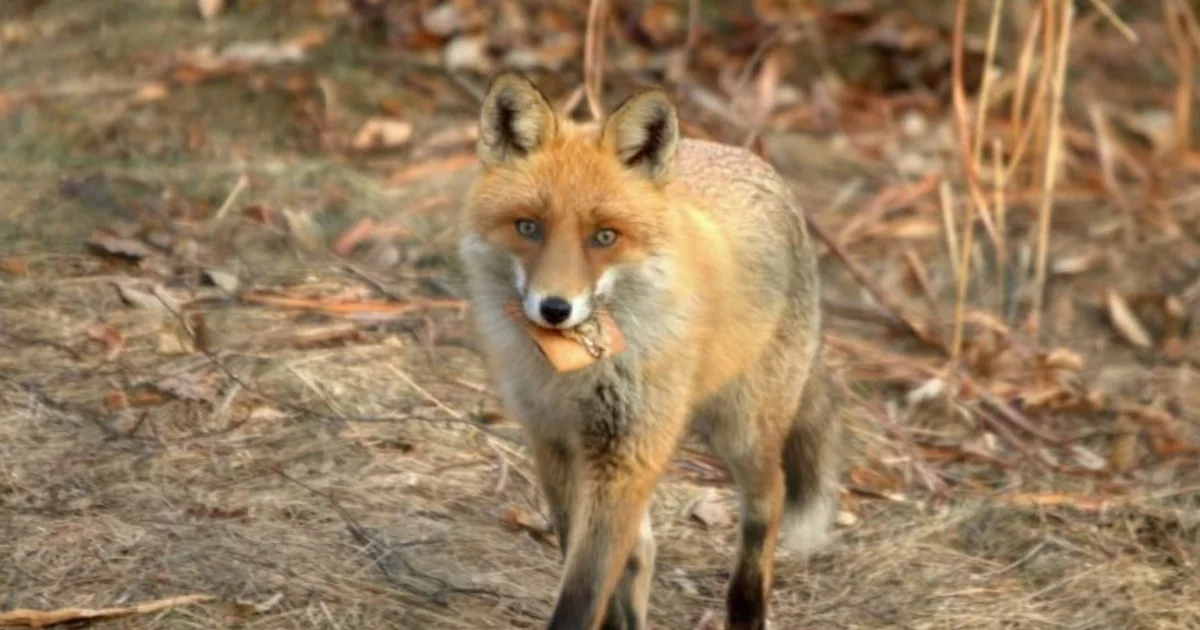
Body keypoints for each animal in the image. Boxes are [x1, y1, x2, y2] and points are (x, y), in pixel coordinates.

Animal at [453, 73, 840, 628]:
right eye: (529, 227)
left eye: (604, 236)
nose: (554, 309)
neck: (575, 373)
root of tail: (753, 160)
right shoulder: (554, 443)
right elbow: (592, 562)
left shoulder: (628, 452)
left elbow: (583, 591)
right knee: (642, 552)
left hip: (741, 430)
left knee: (769, 502)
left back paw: (747, 608)